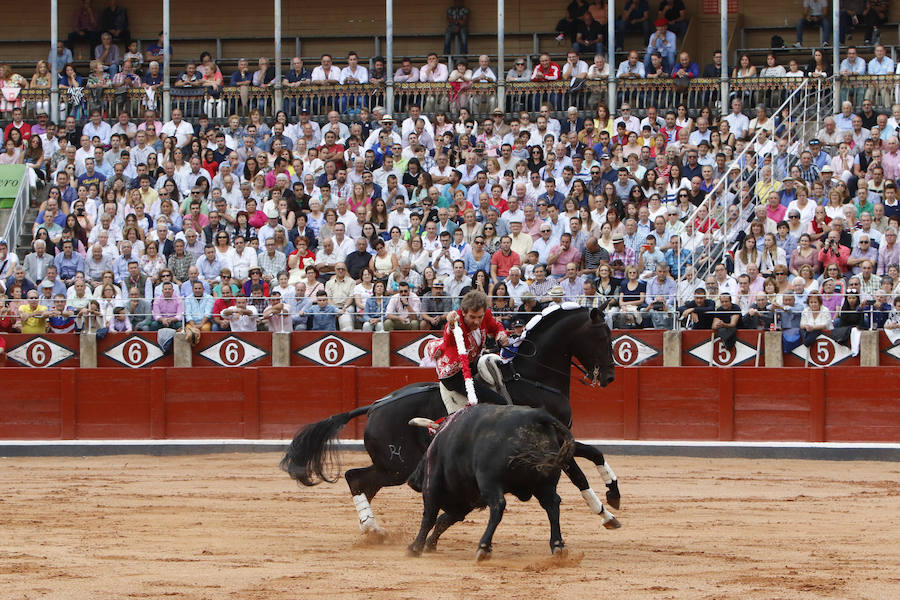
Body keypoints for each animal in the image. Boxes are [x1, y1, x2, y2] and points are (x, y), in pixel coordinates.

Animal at [282, 304, 620, 536]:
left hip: (391, 467)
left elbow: (594, 453)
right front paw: (606, 512)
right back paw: (373, 529)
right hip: (397, 466)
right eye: (602, 336)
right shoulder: (554, 444)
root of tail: (375, 406)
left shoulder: (565, 439)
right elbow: (580, 474)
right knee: (356, 478)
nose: (609, 377)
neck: (532, 377)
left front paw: (612, 497)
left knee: (361, 482)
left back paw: (371, 529)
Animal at [408, 406, 576, 560]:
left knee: (498, 505)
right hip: (545, 484)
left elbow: (429, 518)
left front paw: (415, 547)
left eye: (423, 457)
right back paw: (558, 545)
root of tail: (537, 416)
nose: (412, 481)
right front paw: (429, 545)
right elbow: (443, 521)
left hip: (489, 481)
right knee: (552, 505)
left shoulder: (432, 487)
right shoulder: (464, 502)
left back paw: (484, 547)